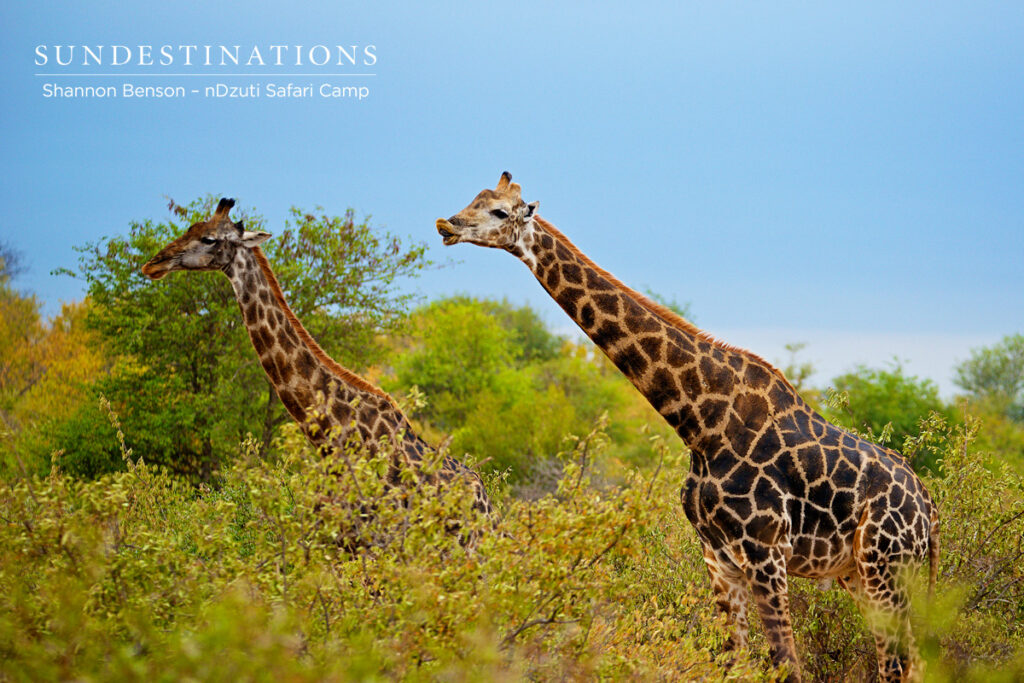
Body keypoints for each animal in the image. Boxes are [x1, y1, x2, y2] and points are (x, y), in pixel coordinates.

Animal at [436, 173, 940, 681]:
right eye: (474, 200)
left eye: (500, 212)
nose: (447, 223)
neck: (699, 424)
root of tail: (931, 512)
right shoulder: (718, 557)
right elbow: (730, 660)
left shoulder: (764, 551)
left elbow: (786, 664)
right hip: (861, 573)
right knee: (908, 661)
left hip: (885, 567)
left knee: (897, 664)